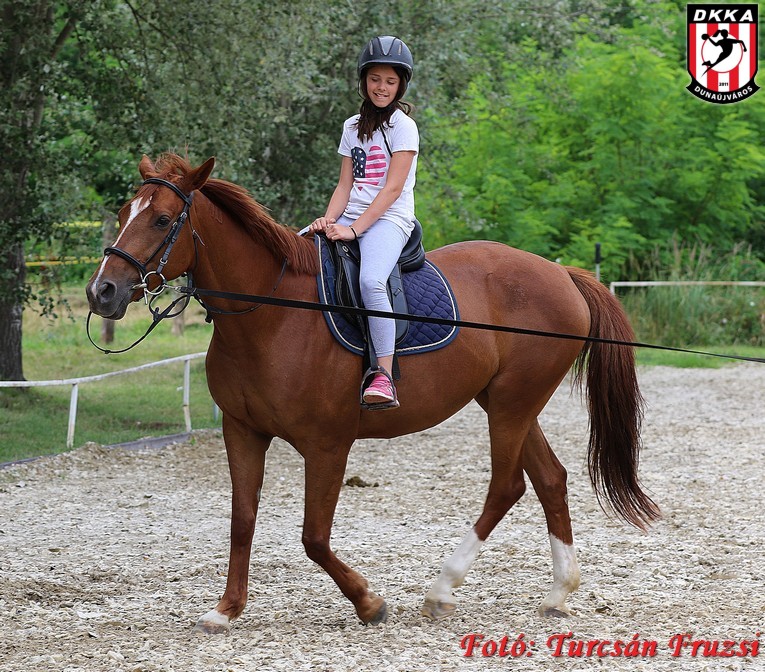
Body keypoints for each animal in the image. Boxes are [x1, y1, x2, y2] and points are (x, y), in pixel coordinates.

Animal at [85, 153, 659, 633]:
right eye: (124, 212)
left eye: (162, 220)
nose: (101, 291)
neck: (272, 314)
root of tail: (560, 273)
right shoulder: (242, 431)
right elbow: (242, 521)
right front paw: (226, 610)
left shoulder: (327, 444)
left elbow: (313, 537)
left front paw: (369, 603)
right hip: (508, 402)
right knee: (549, 481)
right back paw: (558, 593)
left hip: (512, 406)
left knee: (506, 486)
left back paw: (442, 590)